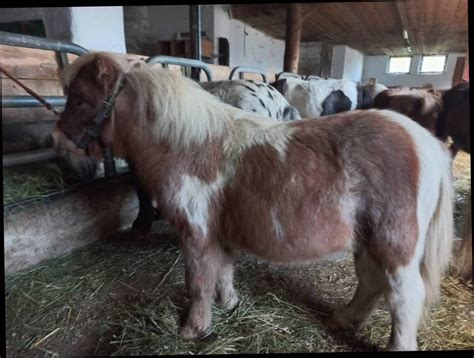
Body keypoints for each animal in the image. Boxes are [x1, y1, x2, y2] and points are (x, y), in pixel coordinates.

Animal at [50, 53, 454, 352]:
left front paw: (193, 329)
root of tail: (422, 141)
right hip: (367, 241)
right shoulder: (221, 233)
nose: (59, 147)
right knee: (371, 282)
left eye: (80, 99)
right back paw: (343, 318)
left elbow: (198, 281)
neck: (190, 146)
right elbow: (224, 271)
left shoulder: (196, 234)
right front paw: (229, 305)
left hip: (395, 245)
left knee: (403, 297)